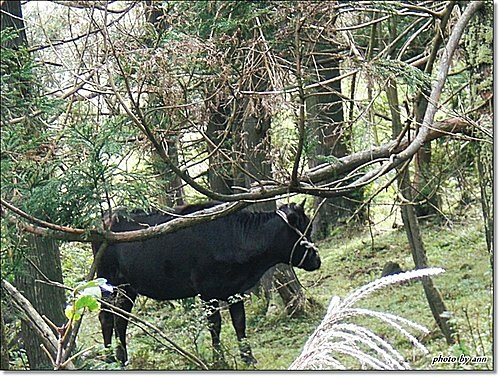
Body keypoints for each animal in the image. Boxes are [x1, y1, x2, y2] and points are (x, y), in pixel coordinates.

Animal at [93, 201, 320, 366]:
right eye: (305, 230)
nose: (317, 260)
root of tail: (105, 218)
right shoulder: (206, 290)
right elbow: (215, 324)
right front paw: (219, 360)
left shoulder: (234, 289)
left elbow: (239, 322)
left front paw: (248, 357)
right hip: (108, 280)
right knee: (106, 317)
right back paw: (109, 358)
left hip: (128, 287)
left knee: (121, 319)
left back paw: (122, 358)